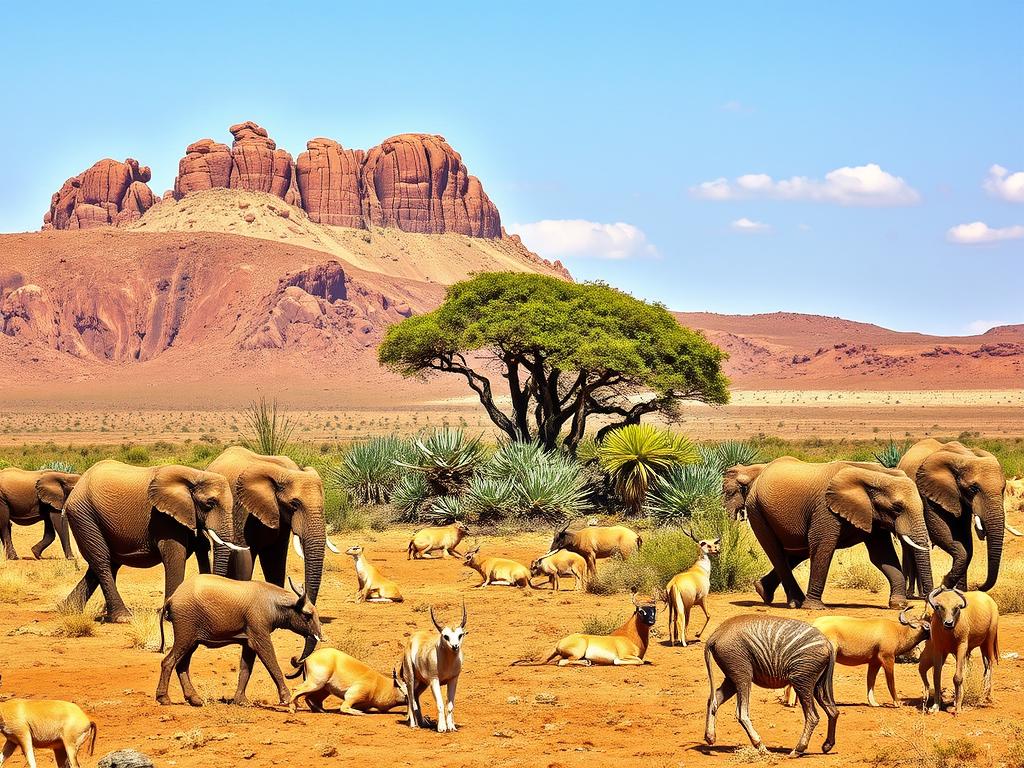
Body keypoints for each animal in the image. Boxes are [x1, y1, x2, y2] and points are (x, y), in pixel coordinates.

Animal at [61, 460, 244, 622]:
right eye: (209, 503)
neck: (195, 475)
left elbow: (200, 546)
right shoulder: (162, 516)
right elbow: (176, 553)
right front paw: (170, 616)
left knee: (106, 563)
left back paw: (68, 609)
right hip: (83, 515)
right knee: (102, 560)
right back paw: (123, 618)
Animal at [206, 446, 333, 661]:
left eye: (323, 506)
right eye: (295, 504)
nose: (296, 660)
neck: (283, 473)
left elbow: (275, 556)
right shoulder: (241, 507)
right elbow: (244, 555)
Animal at [736, 457, 934, 610]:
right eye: (897, 508)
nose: (928, 602)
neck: (871, 474)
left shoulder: (870, 514)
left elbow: (882, 556)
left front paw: (898, 605)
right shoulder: (824, 509)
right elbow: (823, 547)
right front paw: (815, 608)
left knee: (796, 553)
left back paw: (763, 591)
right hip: (756, 510)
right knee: (776, 552)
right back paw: (796, 603)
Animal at [898, 439, 1008, 594]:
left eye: (1003, 489)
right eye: (973, 489)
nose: (978, 586)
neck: (963, 458)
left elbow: (966, 541)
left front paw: (960, 591)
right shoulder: (927, 492)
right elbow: (940, 532)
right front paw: (944, 584)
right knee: (909, 548)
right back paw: (913, 594)